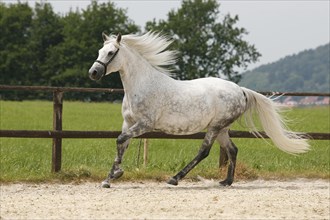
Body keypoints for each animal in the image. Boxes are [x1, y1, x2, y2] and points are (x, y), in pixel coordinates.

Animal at [88, 31, 310, 188]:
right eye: (99, 51)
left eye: (110, 53)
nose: (94, 72)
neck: (141, 85)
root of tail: (240, 90)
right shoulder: (129, 123)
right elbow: (122, 144)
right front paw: (110, 178)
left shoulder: (145, 124)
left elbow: (120, 140)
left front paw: (116, 174)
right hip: (222, 129)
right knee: (232, 150)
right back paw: (226, 182)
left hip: (215, 127)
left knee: (204, 151)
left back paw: (175, 178)